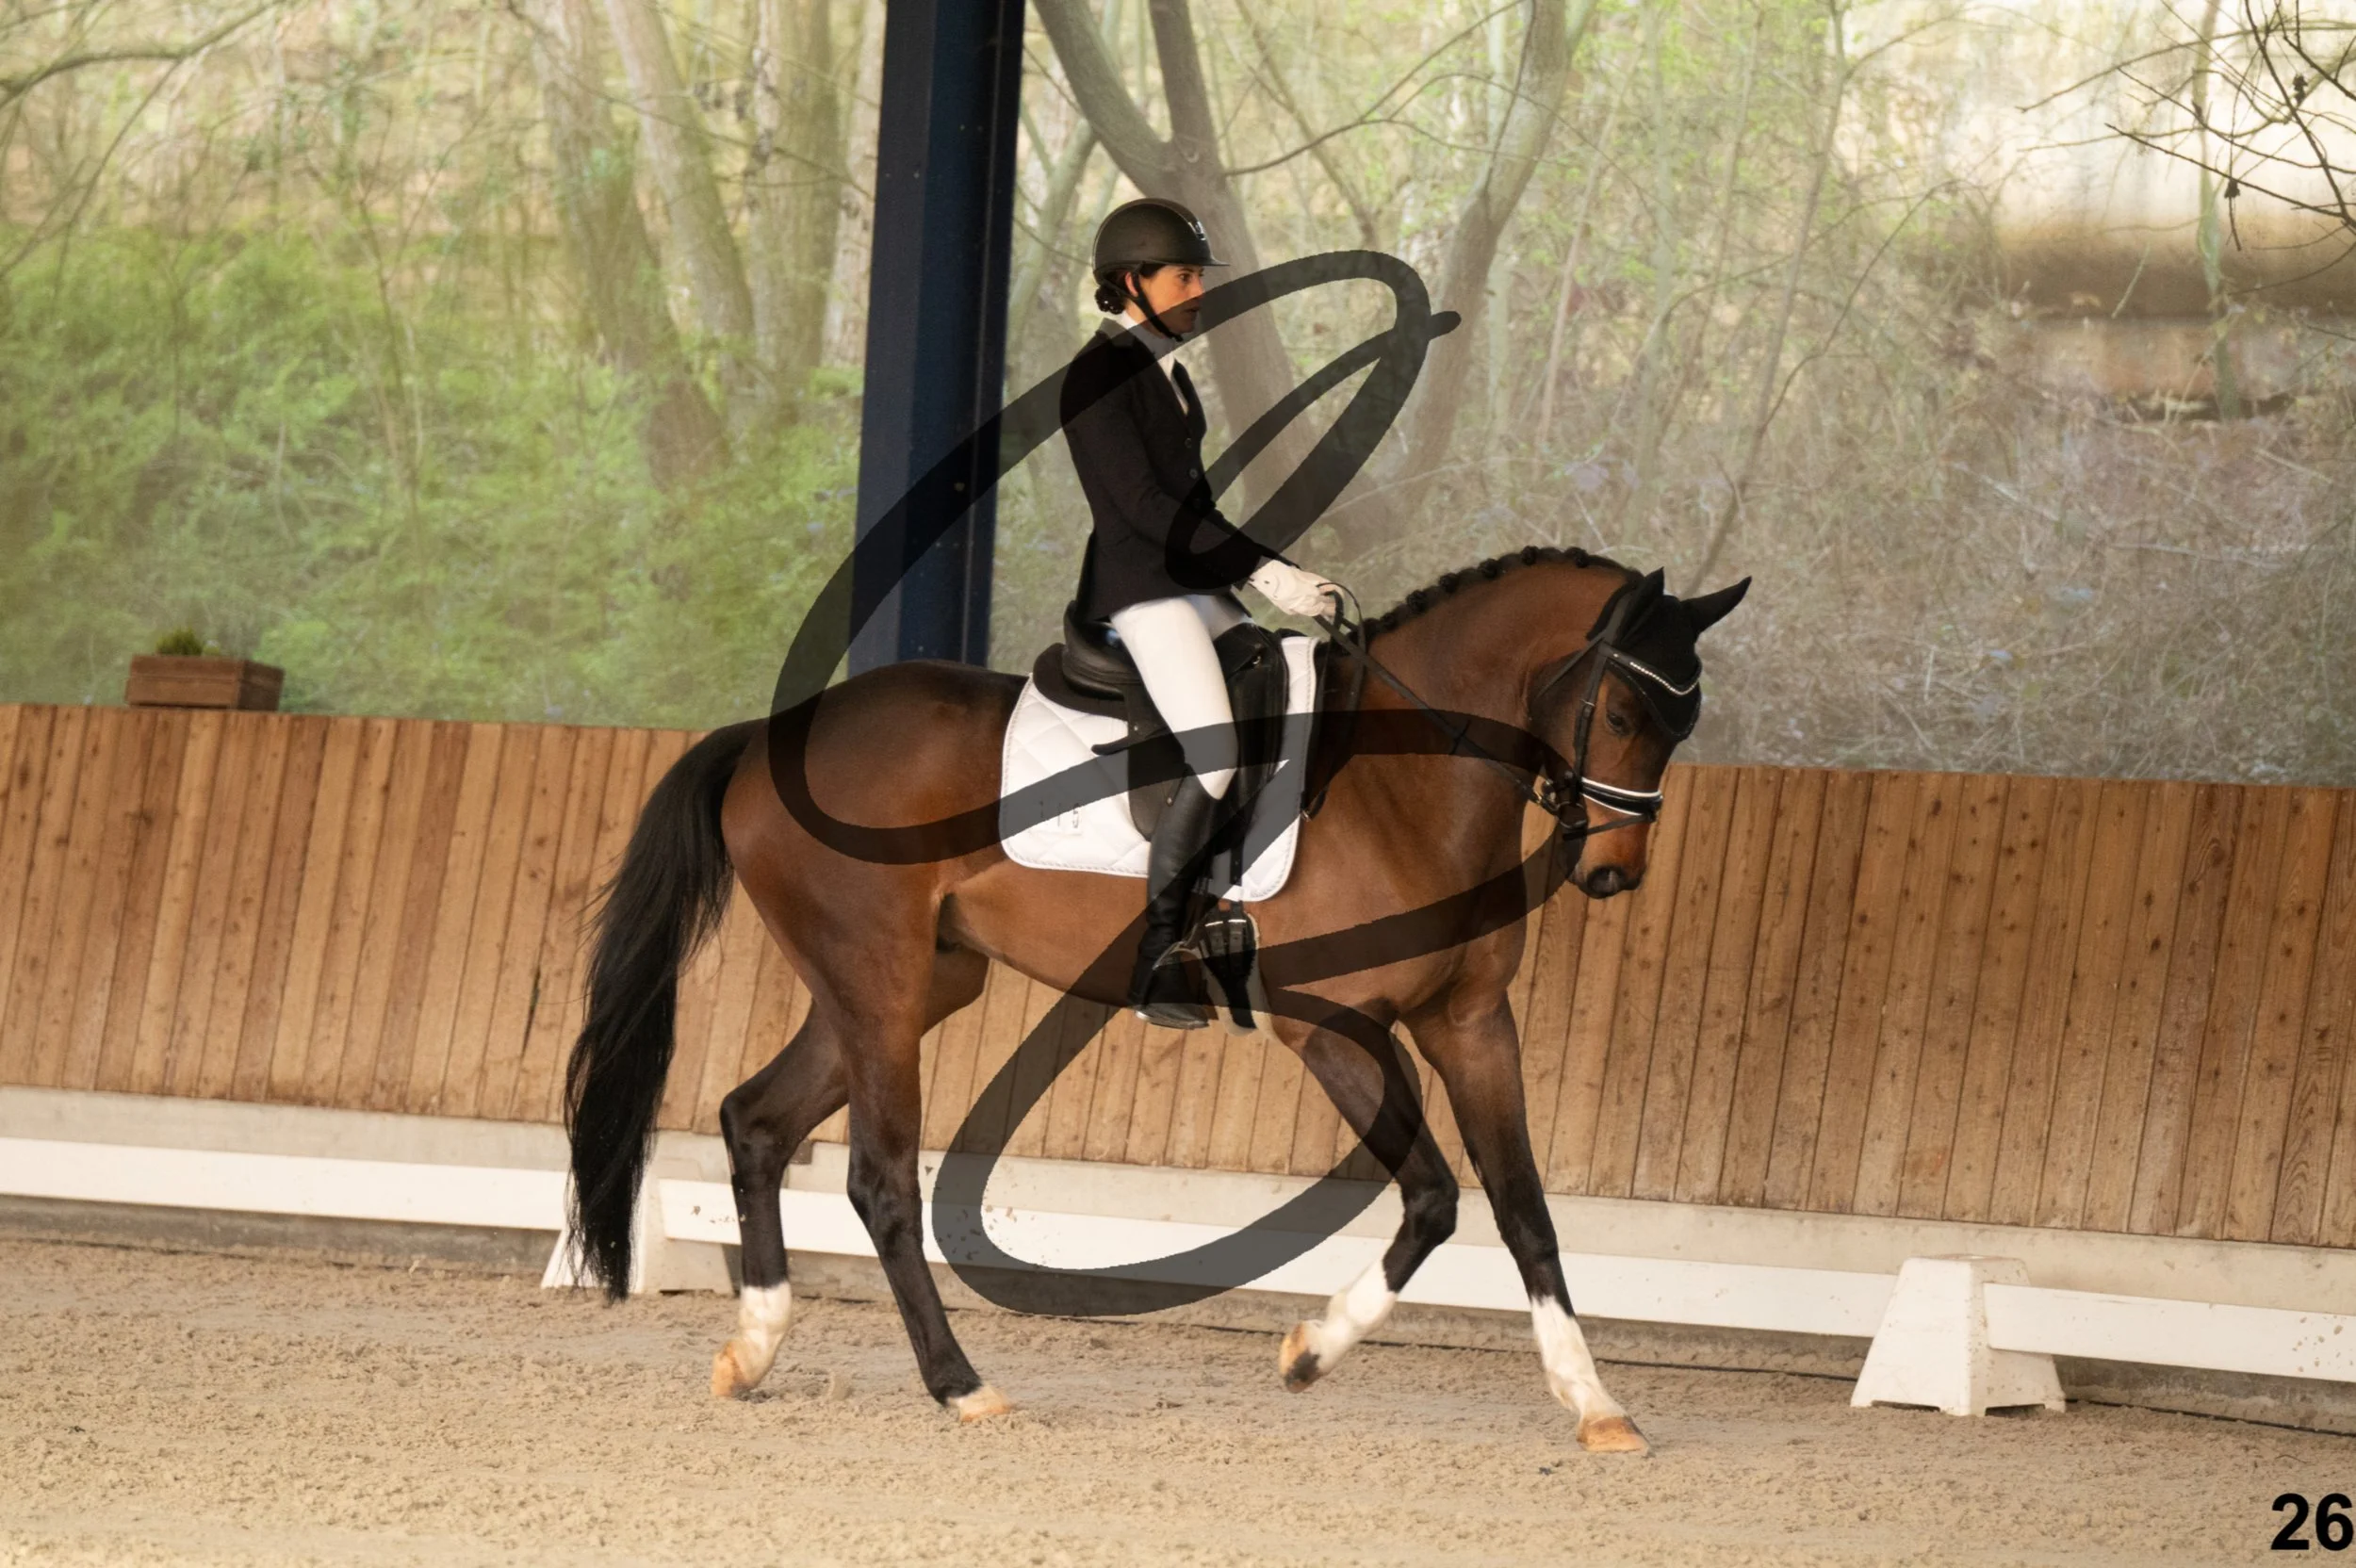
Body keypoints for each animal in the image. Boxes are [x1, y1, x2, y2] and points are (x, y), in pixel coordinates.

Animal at [562, 544, 1748, 1454]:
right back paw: (961, 1384)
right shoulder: (1333, 1027)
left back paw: (755, 1345)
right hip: (879, 986)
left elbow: (1522, 1210)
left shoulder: (1471, 1024)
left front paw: (1595, 1402)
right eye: (1625, 708)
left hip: (909, 984)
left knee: (756, 1122)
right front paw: (1310, 1350)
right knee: (880, 1181)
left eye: (1684, 722)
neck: (1402, 780)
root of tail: (772, 733)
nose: (1613, 873)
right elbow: (1432, 1197)